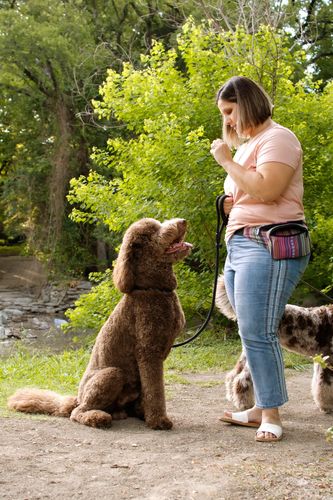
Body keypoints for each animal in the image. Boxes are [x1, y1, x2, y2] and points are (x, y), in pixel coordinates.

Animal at [7, 219, 192, 430]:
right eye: (153, 231)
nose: (182, 222)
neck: (154, 289)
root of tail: (76, 399)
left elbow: (149, 391)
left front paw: (146, 414)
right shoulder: (148, 352)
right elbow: (155, 391)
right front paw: (158, 421)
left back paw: (124, 412)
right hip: (112, 374)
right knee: (78, 412)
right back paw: (98, 417)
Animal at [214, 274, 332, 414]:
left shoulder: (321, 359)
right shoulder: (328, 361)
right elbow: (325, 386)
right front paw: (327, 406)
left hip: (246, 352)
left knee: (233, 375)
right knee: (242, 379)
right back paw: (245, 404)